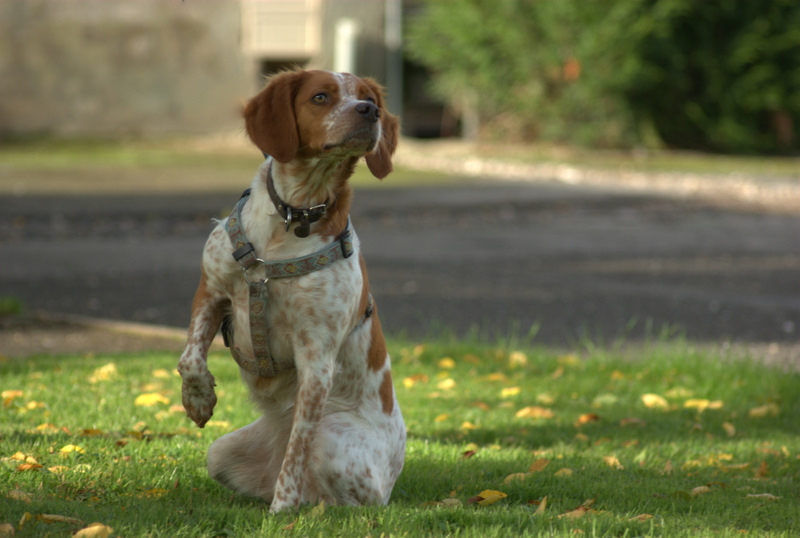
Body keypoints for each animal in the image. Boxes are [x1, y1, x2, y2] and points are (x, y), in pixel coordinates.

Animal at [179, 69, 410, 508]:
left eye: (371, 98)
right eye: (320, 97)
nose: (368, 111)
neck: (292, 218)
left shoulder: (317, 359)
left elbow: (298, 448)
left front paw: (280, 510)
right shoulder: (210, 291)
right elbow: (190, 359)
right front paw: (198, 400)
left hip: (336, 442)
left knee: (328, 491)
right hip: (220, 452)